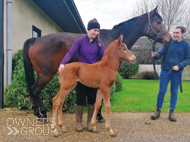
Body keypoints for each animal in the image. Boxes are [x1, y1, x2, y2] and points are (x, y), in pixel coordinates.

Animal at [22, 6, 172, 121]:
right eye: (158, 21)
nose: (169, 39)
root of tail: (35, 40)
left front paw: (98, 116)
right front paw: (100, 117)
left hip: (40, 73)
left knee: (32, 88)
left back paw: (37, 113)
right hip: (47, 74)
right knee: (36, 89)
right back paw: (43, 113)